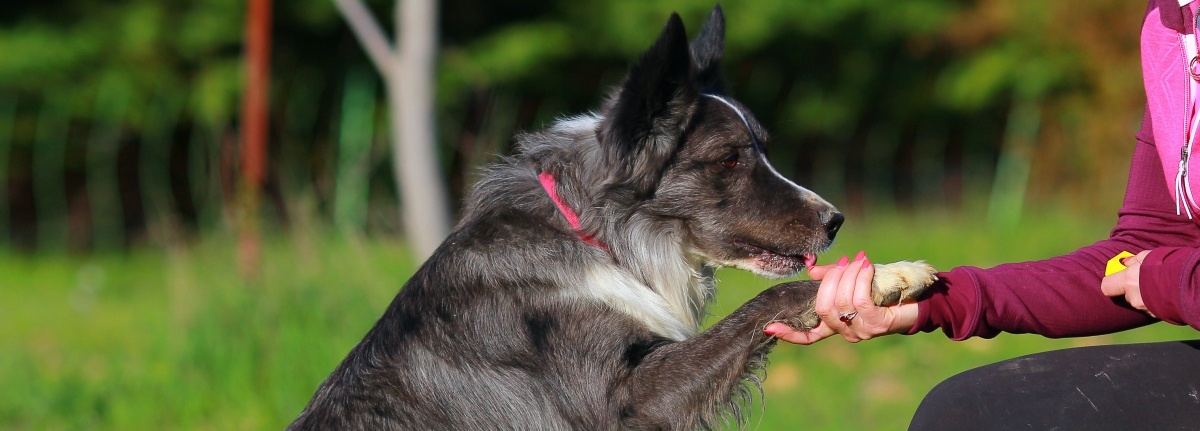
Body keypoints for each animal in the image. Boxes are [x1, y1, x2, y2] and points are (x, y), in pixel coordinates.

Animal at [292, 7, 936, 431]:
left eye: (765, 151)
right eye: (730, 159)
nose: (835, 222)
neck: (599, 236)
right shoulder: (625, 399)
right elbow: (769, 300)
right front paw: (885, 277)